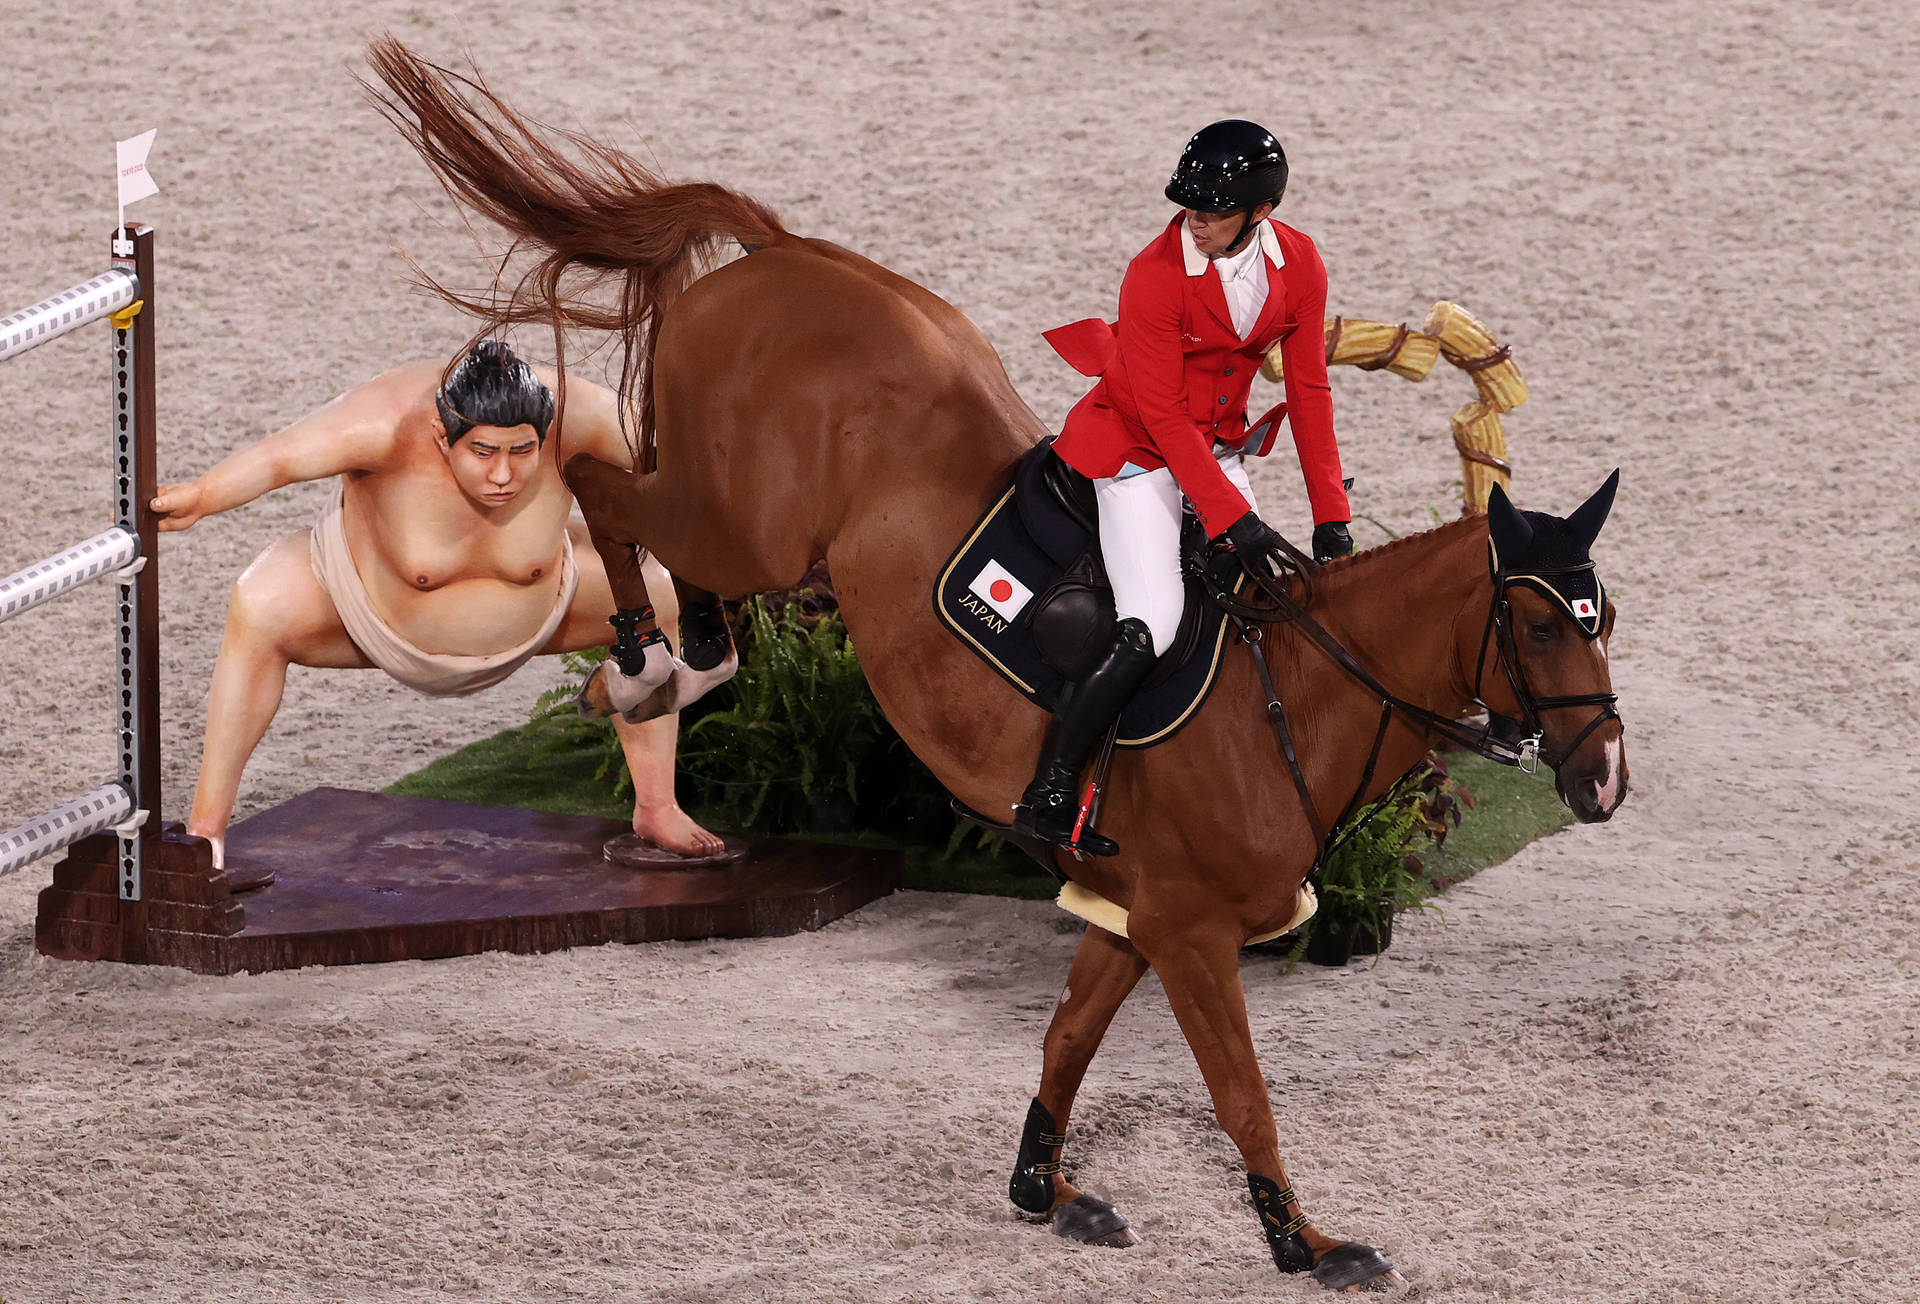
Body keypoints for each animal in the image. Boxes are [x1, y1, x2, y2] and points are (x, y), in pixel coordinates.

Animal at [366, 35, 1628, 1290]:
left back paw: (699, 652)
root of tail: (785, 255)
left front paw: (1045, 1188)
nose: (1606, 779)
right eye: (1540, 627)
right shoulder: (1192, 930)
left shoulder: (1132, 910)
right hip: (749, 525)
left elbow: (1068, 1035)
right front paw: (1300, 1239)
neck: (1298, 693)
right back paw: (651, 662)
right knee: (602, 486)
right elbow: (1241, 1089)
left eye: (1603, 613)